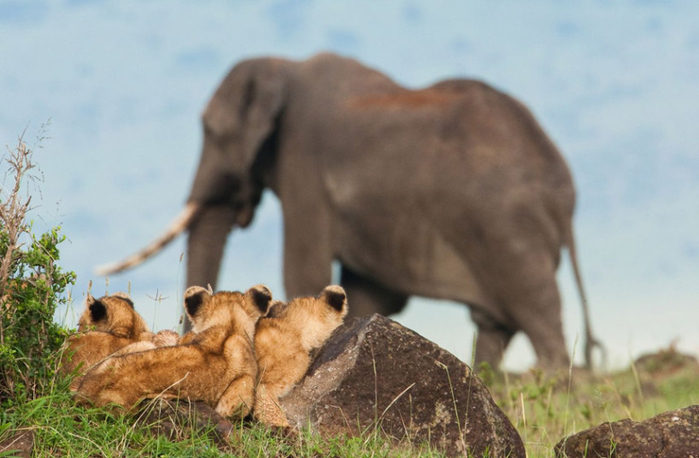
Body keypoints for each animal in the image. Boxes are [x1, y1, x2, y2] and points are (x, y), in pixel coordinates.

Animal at [98, 52, 600, 370]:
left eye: (214, 133)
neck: (285, 67)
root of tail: (566, 194)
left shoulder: (303, 165)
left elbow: (304, 267)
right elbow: (369, 291)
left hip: (507, 228)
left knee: (538, 314)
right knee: (495, 324)